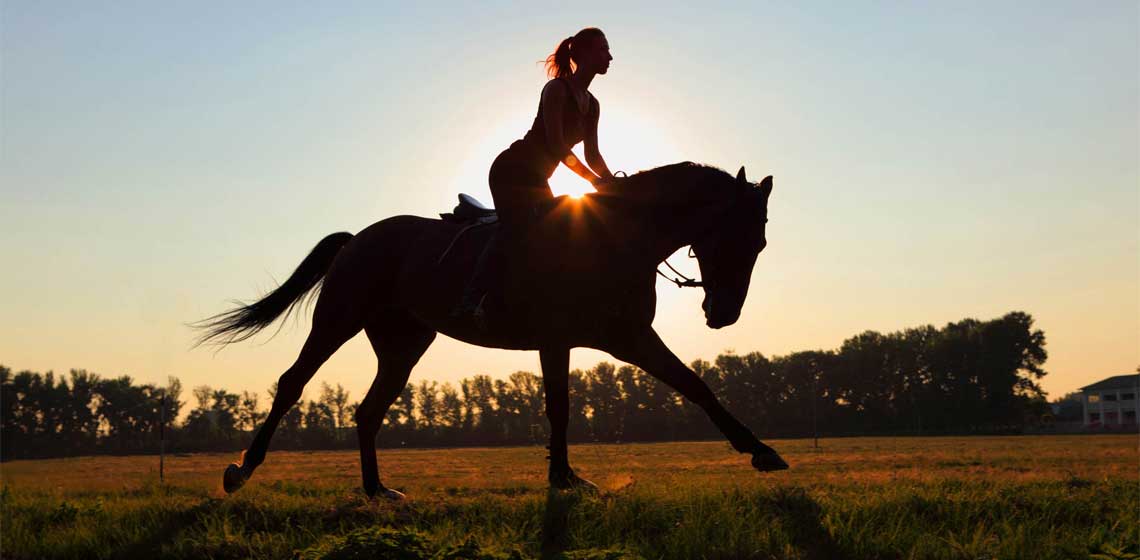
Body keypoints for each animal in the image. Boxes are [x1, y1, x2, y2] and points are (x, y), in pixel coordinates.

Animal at [198, 160, 784, 499]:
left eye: (759, 244)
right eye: (736, 237)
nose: (724, 313)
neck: (616, 237)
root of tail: (359, 237)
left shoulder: (624, 338)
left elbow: (696, 387)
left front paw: (761, 451)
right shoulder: (572, 339)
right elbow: (560, 407)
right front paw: (563, 478)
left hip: (403, 343)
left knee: (368, 411)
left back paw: (377, 490)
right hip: (338, 320)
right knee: (293, 384)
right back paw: (242, 470)